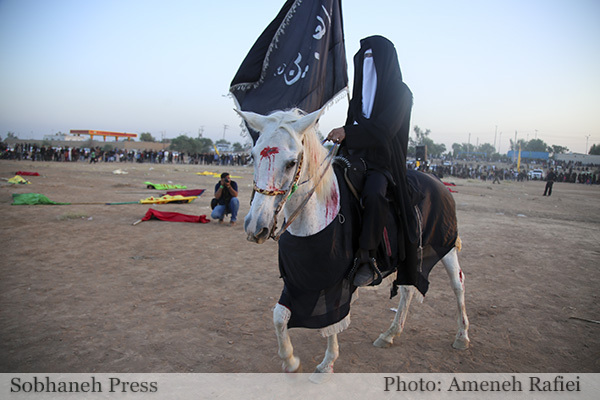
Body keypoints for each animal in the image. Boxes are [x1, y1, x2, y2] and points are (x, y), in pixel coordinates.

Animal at [238, 108, 468, 376]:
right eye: (252, 155)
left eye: (291, 163)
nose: (255, 226)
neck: (314, 219)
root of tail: (437, 180)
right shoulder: (297, 281)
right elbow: (279, 315)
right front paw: (291, 360)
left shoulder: (335, 281)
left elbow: (332, 320)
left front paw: (327, 363)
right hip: (411, 256)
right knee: (408, 289)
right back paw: (390, 334)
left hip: (446, 246)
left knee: (457, 284)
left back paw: (462, 335)